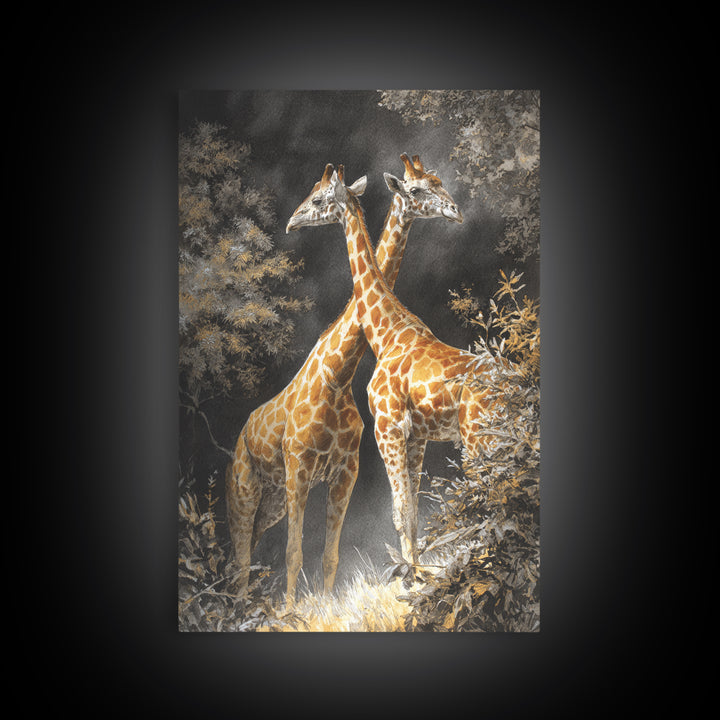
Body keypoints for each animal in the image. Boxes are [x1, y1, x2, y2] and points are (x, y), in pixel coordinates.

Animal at [226, 155, 462, 607]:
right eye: (419, 189)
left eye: (439, 182)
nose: (292, 221)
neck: (337, 376)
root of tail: (242, 431)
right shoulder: (300, 467)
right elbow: (295, 551)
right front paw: (291, 613)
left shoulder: (346, 469)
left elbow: (332, 553)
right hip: (246, 489)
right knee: (241, 555)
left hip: (271, 500)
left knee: (249, 551)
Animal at [292, 163, 505, 568]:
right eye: (420, 188)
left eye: (318, 199)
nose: (291, 221)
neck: (387, 332)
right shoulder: (416, 435)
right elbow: (412, 511)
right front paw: (416, 570)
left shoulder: (386, 427)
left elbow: (399, 509)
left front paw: (410, 575)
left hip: (477, 438)